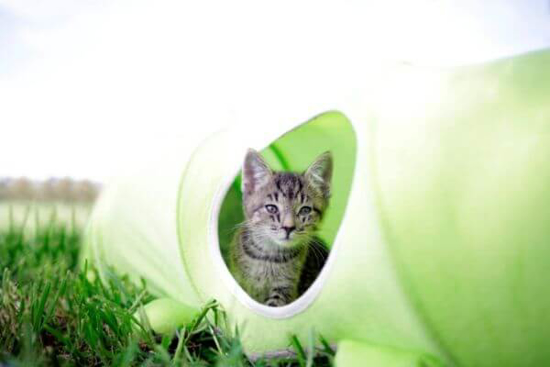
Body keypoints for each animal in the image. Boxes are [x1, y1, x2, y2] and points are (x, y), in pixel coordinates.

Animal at [230, 150, 332, 308]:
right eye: (271, 208)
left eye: (305, 210)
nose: (288, 227)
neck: (268, 256)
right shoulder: (239, 278)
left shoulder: (286, 288)